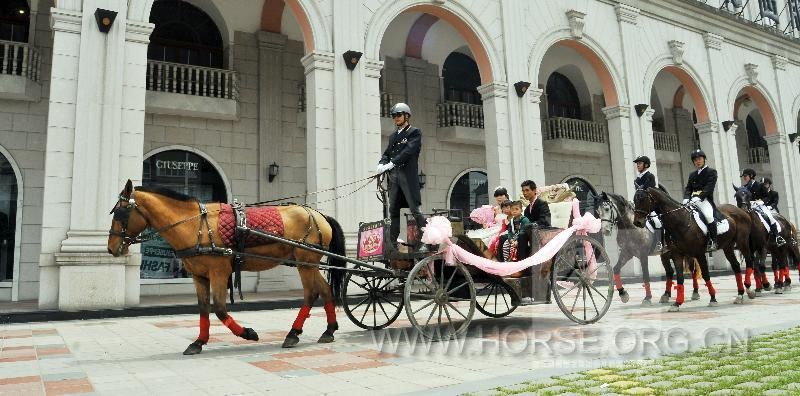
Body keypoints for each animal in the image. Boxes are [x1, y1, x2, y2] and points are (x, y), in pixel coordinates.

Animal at [108, 179, 346, 352]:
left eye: (120, 212)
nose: (111, 248)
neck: (195, 225)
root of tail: (318, 214)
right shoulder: (199, 276)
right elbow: (204, 308)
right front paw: (198, 341)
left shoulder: (219, 272)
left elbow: (220, 309)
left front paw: (247, 333)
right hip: (308, 263)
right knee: (325, 291)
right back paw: (329, 330)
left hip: (306, 262)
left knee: (311, 293)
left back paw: (293, 333)